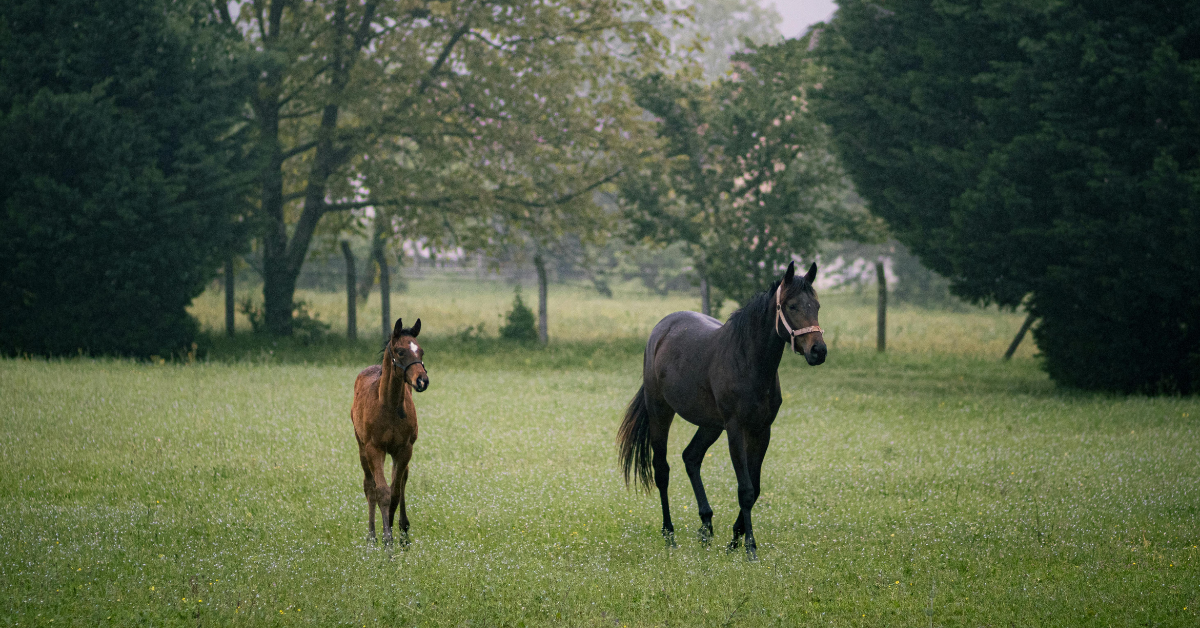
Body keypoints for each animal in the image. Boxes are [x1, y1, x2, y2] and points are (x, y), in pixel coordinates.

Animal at [350, 318, 429, 545]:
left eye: (421, 351)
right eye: (400, 351)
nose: (422, 381)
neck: (389, 405)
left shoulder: (403, 449)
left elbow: (395, 492)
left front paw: (396, 532)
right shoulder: (374, 448)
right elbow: (382, 492)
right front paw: (387, 540)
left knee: (401, 482)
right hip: (362, 447)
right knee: (369, 486)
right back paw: (371, 538)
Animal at [617, 261, 827, 561]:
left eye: (817, 306)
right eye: (792, 306)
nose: (818, 351)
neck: (748, 361)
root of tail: (661, 330)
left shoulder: (762, 431)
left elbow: (755, 487)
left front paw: (735, 539)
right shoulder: (736, 430)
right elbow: (746, 489)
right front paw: (749, 547)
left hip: (710, 425)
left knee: (691, 457)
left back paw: (705, 527)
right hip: (661, 413)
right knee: (662, 470)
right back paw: (670, 535)